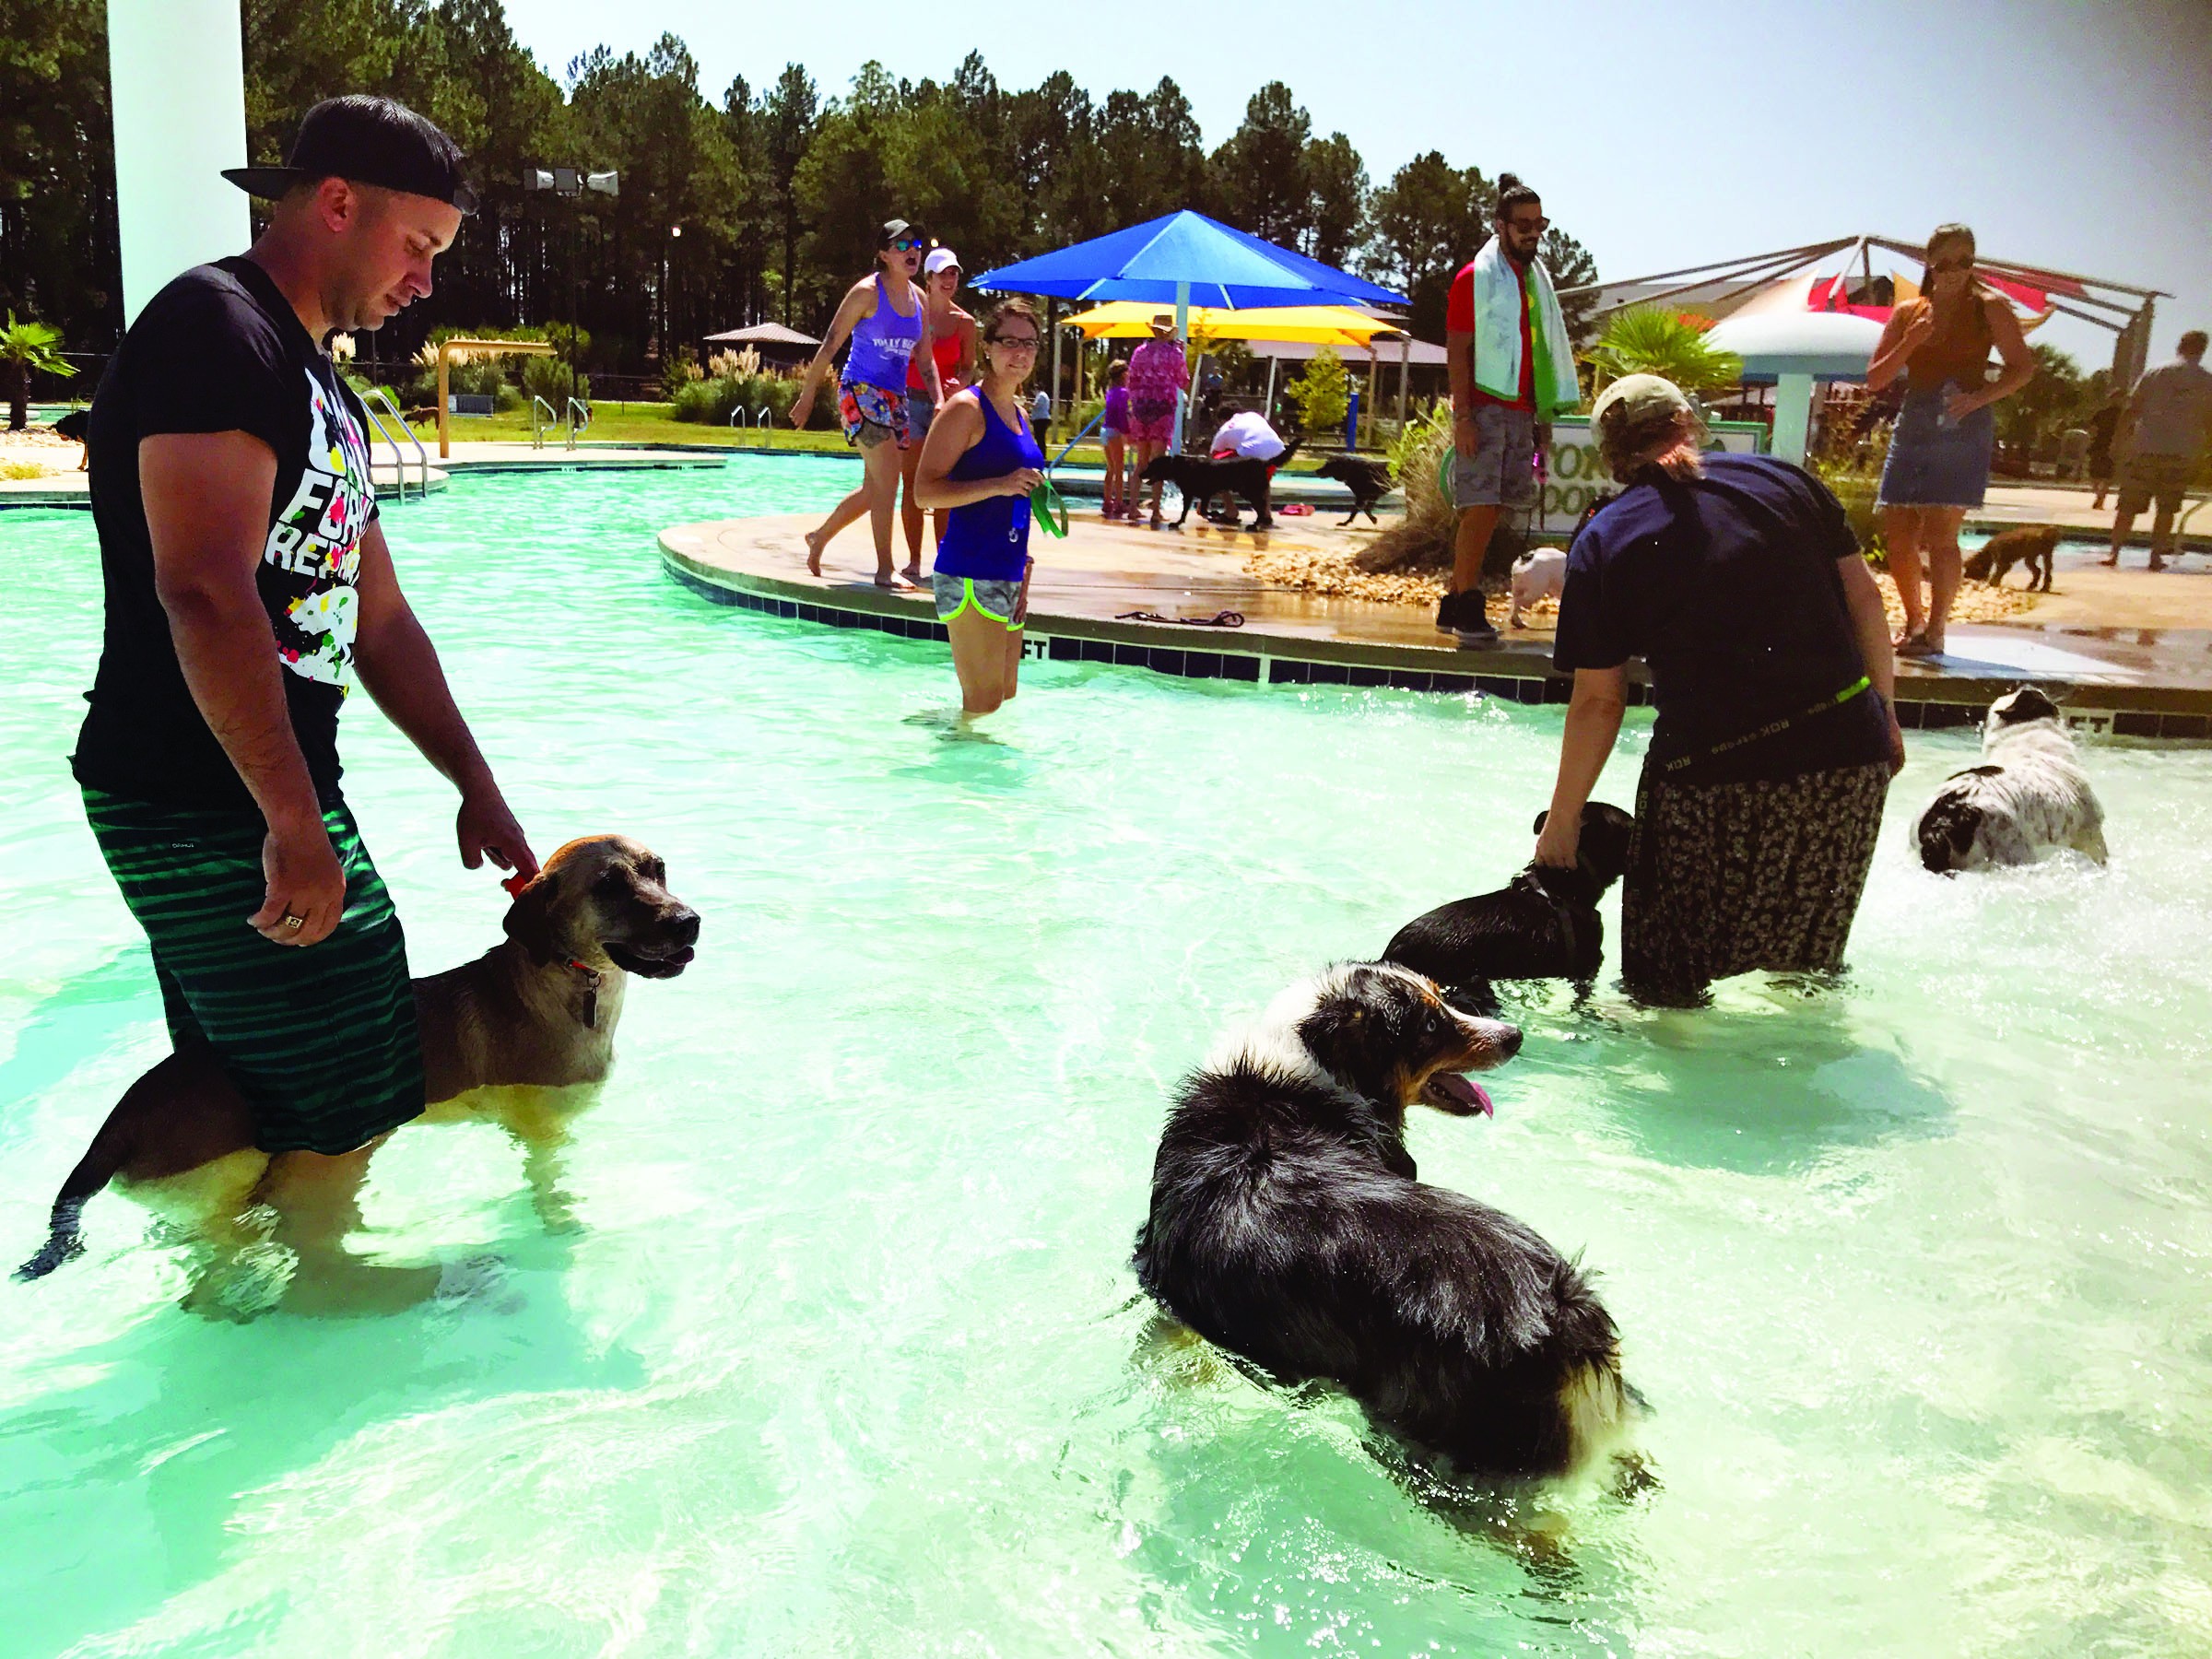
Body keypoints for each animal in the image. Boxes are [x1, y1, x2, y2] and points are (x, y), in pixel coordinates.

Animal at [17, 831, 699, 1283]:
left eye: (659, 869)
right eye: (608, 886)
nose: (690, 921)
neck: (564, 981)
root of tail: (120, 1120)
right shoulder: (540, 1131)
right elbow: (550, 1188)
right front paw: (562, 1226)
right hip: (229, 1184)